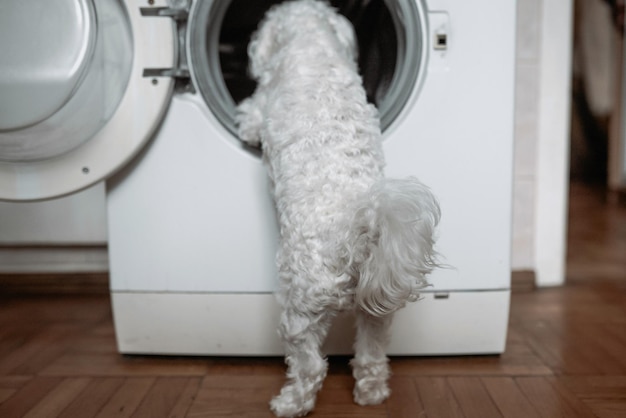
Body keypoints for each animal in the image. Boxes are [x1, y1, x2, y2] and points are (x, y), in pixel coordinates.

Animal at [235, 1, 438, 416]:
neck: (314, 44)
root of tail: (357, 234)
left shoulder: (263, 101)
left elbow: (251, 116)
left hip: (300, 309)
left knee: (310, 365)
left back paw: (290, 403)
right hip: (375, 310)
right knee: (372, 355)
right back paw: (371, 394)